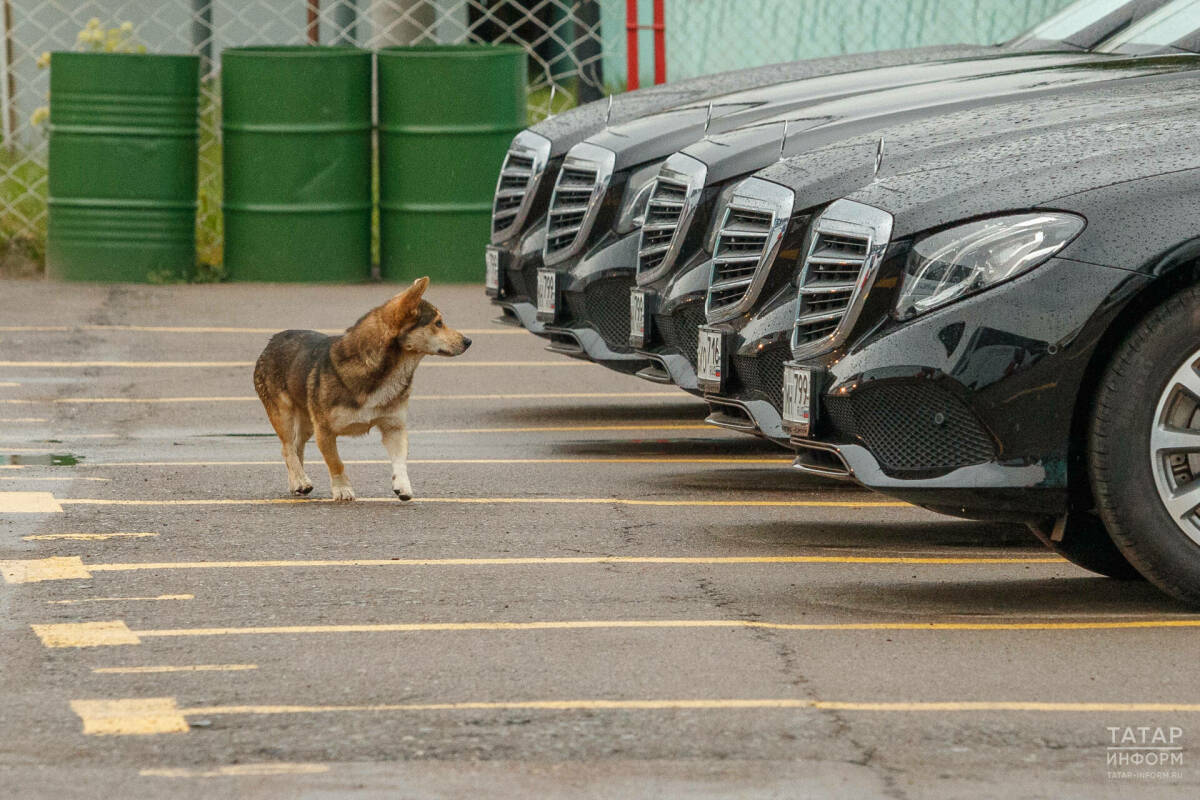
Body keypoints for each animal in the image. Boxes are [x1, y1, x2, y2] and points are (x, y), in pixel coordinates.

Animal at [252, 277, 468, 501]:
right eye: (438, 323)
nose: (468, 341)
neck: (381, 371)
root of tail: (272, 340)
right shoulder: (324, 430)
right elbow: (336, 463)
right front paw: (342, 489)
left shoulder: (393, 426)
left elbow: (400, 460)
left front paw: (402, 486)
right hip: (283, 414)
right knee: (287, 448)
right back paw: (301, 480)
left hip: (307, 421)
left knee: (296, 447)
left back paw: (297, 481)